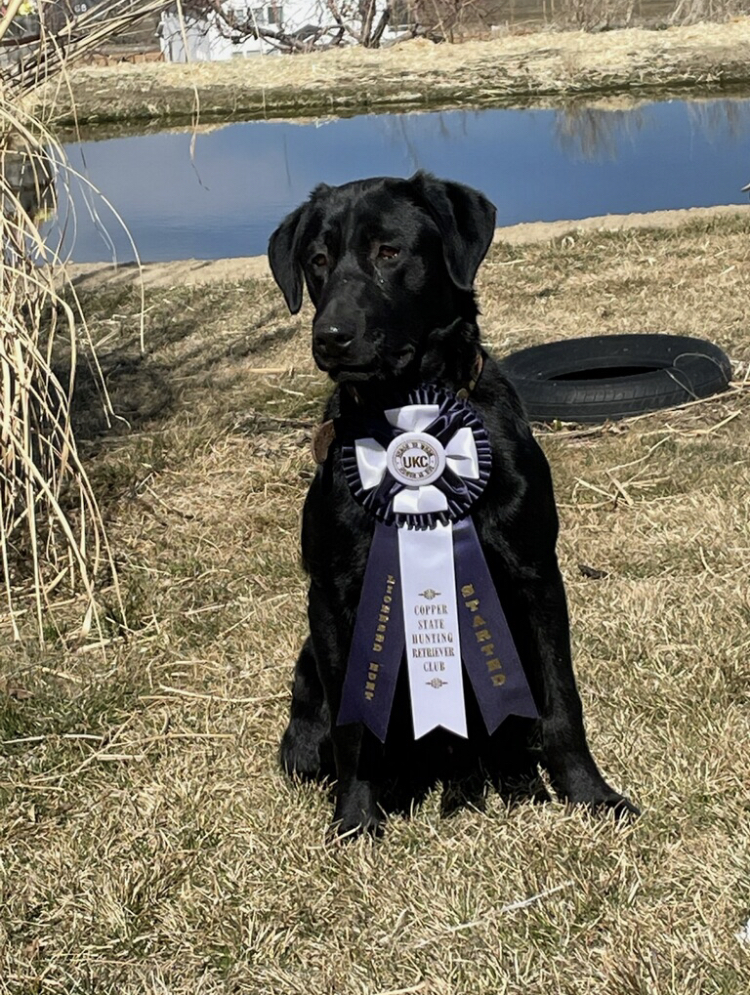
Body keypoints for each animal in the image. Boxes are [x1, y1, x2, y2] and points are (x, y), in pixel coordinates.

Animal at [268, 175, 636, 836]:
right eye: (318, 260)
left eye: (389, 251)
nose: (329, 337)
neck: (413, 412)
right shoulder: (331, 596)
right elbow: (354, 726)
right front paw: (356, 820)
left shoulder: (537, 576)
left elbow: (563, 702)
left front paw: (591, 794)